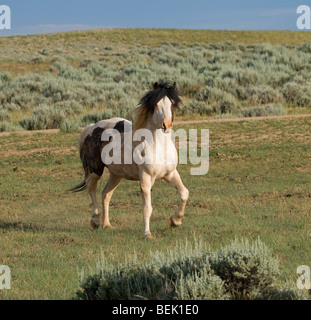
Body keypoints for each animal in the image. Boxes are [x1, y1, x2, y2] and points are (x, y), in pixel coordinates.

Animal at [71, 81, 190, 239]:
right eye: (156, 104)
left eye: (172, 103)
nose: (167, 125)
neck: (156, 146)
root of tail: (92, 128)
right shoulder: (146, 178)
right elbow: (147, 208)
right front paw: (147, 234)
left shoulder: (170, 174)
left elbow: (184, 193)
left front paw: (175, 221)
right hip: (96, 169)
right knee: (91, 187)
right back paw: (95, 220)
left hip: (116, 174)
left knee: (106, 194)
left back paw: (106, 225)